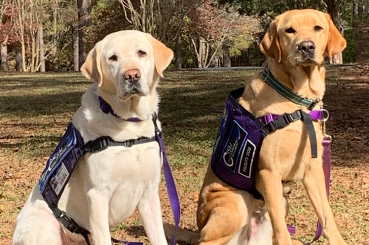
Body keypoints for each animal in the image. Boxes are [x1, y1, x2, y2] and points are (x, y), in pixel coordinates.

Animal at [13, 30, 174, 245]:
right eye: (113, 58)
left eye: (142, 52)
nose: (132, 75)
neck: (129, 124)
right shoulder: (98, 195)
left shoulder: (149, 193)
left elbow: (159, 237)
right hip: (44, 227)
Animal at [197, 8, 346, 245]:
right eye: (289, 30)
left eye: (318, 28)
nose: (306, 46)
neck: (298, 101)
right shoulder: (269, 172)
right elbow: (282, 231)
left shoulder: (313, 170)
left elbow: (326, 216)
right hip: (235, 203)